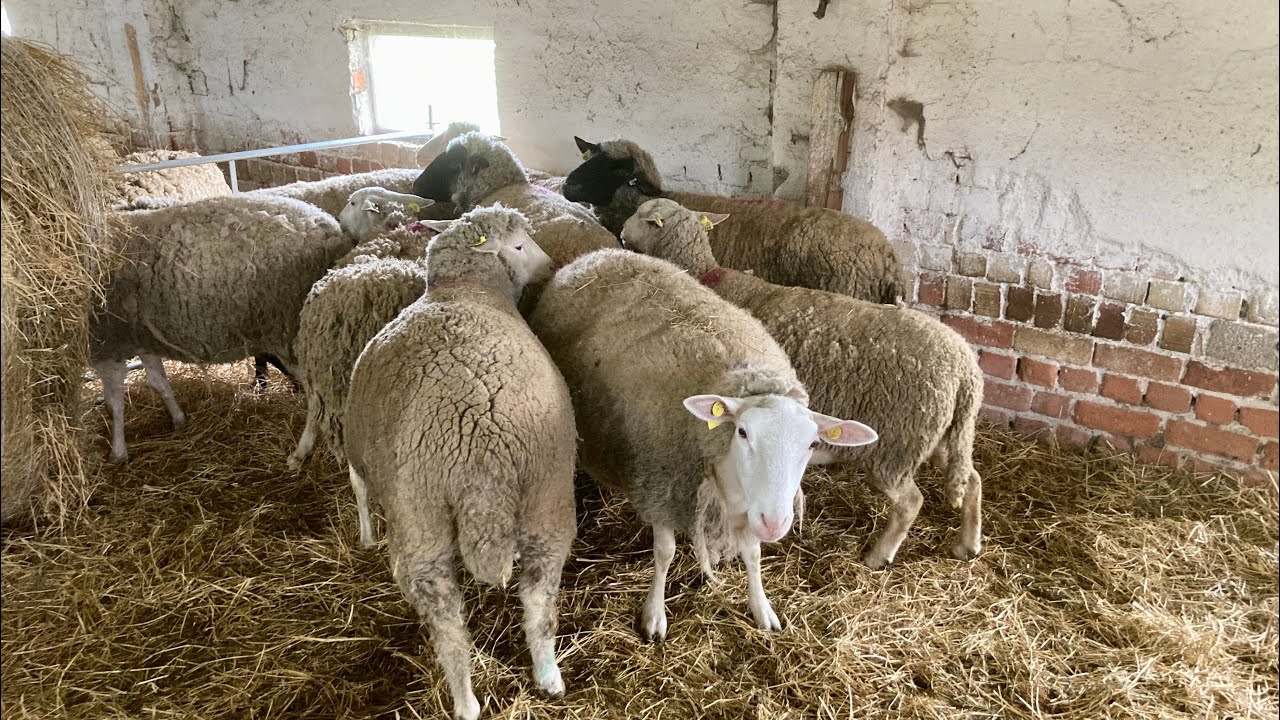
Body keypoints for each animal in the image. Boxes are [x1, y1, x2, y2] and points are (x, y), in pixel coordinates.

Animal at [90, 194, 352, 463]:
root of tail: (333, 229)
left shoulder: (107, 346)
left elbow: (114, 403)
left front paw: (118, 452)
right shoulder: (142, 338)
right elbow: (158, 382)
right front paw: (178, 418)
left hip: (290, 332)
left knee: (317, 397)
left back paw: (300, 452)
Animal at [343, 205, 571, 719]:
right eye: (520, 244)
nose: (550, 267)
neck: (465, 289)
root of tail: (483, 454)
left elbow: (359, 488)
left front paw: (364, 536)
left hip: (421, 518)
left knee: (447, 624)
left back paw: (467, 700)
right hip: (546, 501)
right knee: (538, 601)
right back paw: (547, 676)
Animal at [528, 248, 878, 640]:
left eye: (812, 444)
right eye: (742, 433)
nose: (775, 523)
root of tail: (595, 255)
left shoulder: (747, 508)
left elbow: (753, 554)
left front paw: (762, 608)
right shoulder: (662, 488)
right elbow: (664, 553)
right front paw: (654, 615)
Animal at [620, 199, 985, 568]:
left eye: (643, 216)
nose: (620, 233)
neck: (708, 278)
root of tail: (966, 371)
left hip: (897, 446)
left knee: (910, 502)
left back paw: (878, 556)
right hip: (941, 436)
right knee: (971, 479)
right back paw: (967, 545)